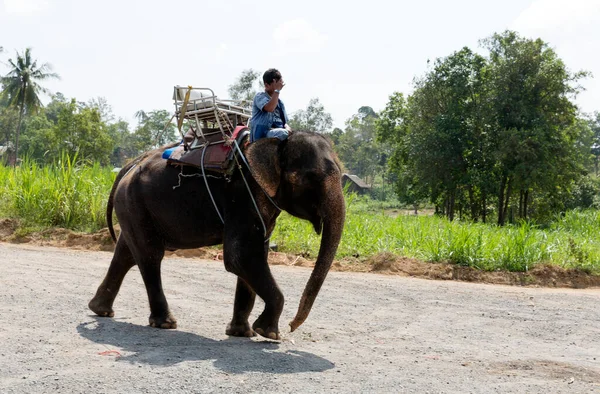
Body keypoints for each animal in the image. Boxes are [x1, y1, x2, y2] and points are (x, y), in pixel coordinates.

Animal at [86, 131, 344, 340]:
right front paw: (268, 333)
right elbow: (240, 257)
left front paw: (243, 333)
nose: (292, 326)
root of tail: (130, 165)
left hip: (134, 207)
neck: (273, 143)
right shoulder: (243, 199)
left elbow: (254, 257)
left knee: (126, 254)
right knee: (150, 256)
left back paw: (100, 310)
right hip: (135, 203)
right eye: (311, 177)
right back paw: (165, 323)